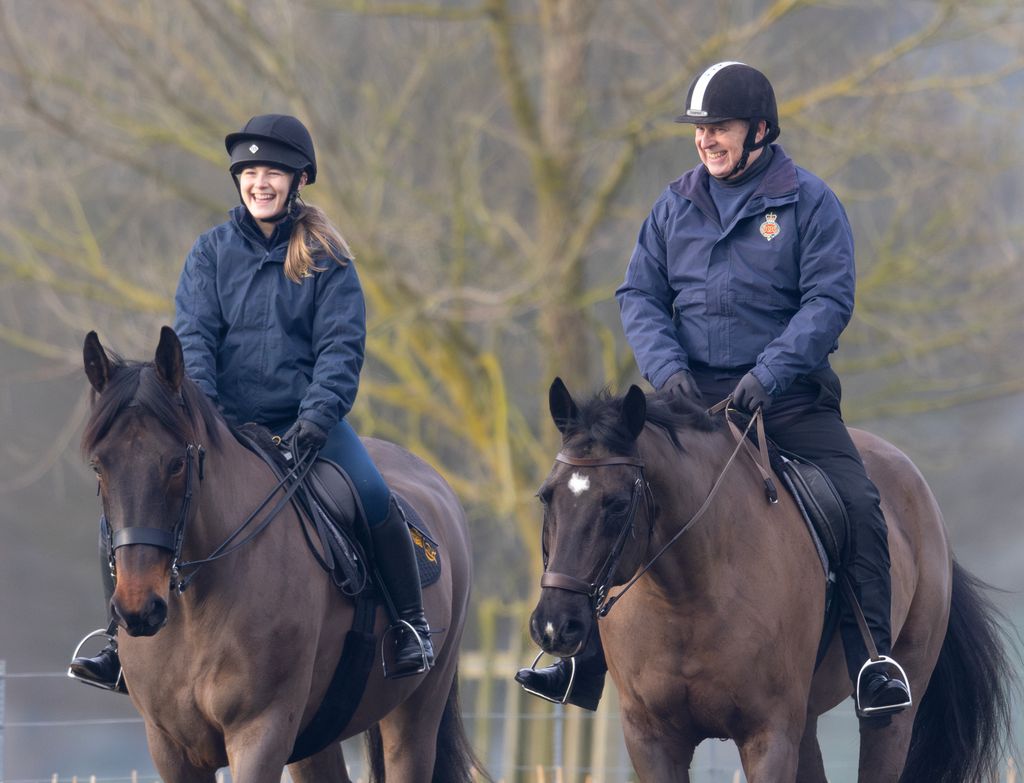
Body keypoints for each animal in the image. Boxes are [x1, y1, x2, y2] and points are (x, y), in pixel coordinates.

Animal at [79, 327, 479, 777]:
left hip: (414, 719)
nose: (138, 608)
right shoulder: (170, 747)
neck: (196, 606)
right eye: (99, 466)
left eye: (176, 464)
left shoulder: (260, 733)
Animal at [528, 376, 1015, 777]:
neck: (685, 598)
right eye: (546, 495)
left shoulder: (769, 736)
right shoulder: (650, 739)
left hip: (892, 712)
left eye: (615, 504)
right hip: (808, 722)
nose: (554, 626)